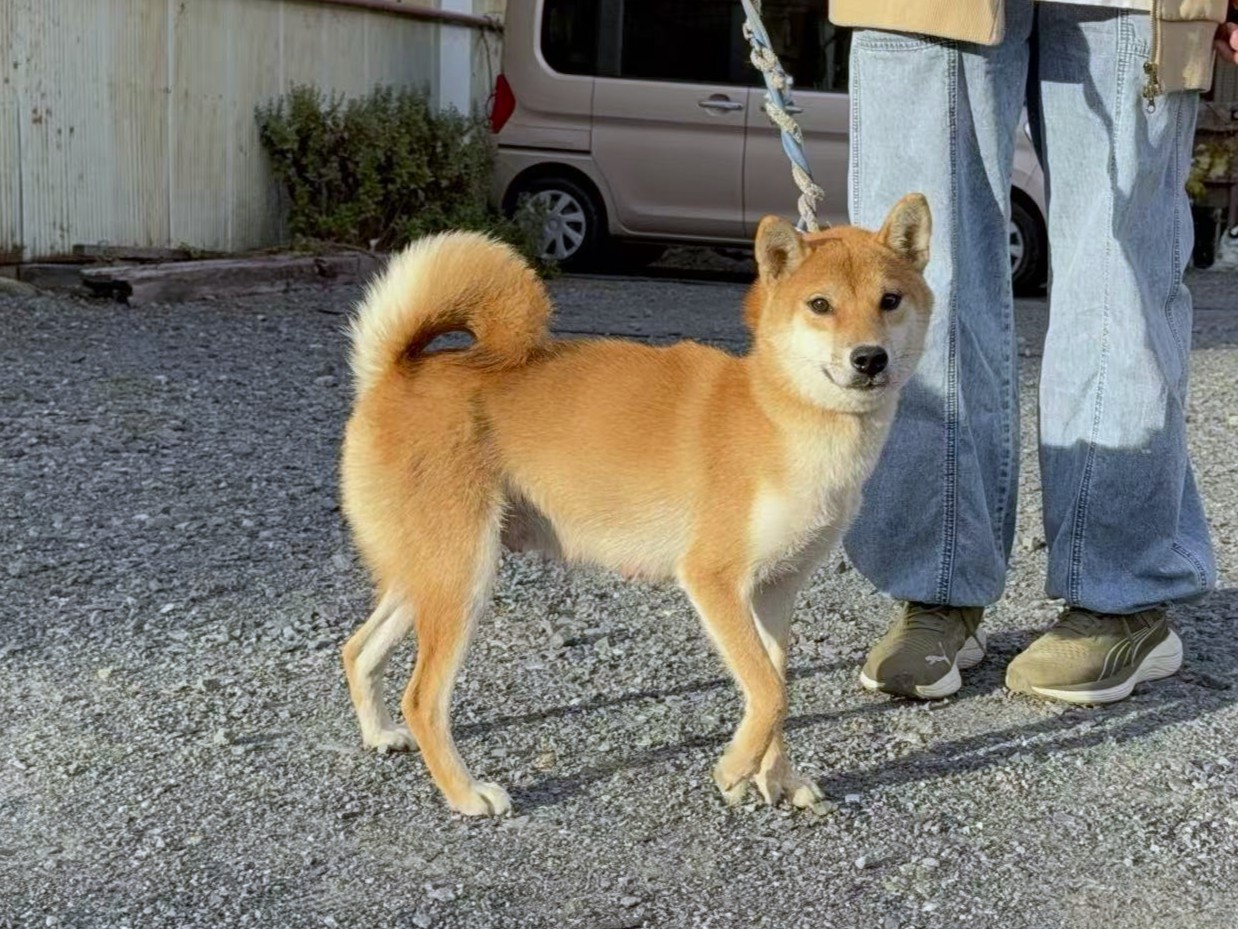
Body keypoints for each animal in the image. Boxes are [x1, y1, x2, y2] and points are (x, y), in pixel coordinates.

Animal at [339, 194, 934, 816]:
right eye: (820, 305)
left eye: (889, 300)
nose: (869, 358)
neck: (781, 418)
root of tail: (394, 372)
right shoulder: (714, 580)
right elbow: (770, 692)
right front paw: (734, 771)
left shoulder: (776, 590)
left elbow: (777, 690)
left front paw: (777, 777)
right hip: (464, 578)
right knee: (421, 698)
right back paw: (465, 792)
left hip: (433, 575)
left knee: (357, 650)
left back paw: (379, 734)